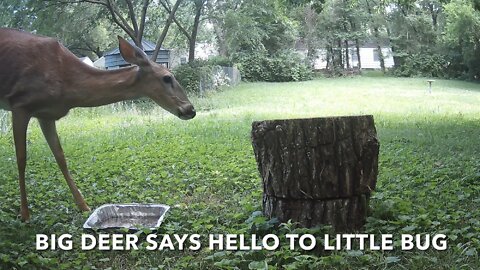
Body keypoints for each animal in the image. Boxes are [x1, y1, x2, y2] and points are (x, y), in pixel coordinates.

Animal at [0, 28, 197, 221]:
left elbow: (60, 157)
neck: (67, 83)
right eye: (167, 78)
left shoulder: (47, 115)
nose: (191, 109)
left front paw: (83, 206)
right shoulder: (20, 104)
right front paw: (25, 214)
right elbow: (21, 159)